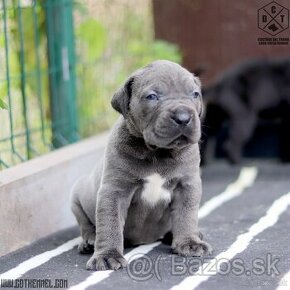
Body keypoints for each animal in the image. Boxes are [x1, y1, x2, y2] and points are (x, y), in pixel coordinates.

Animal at [70, 60, 211, 270]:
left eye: (195, 94)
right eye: (152, 97)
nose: (183, 117)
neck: (157, 153)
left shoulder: (187, 185)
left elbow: (186, 215)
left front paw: (189, 243)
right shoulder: (114, 190)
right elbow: (110, 222)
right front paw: (107, 255)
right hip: (77, 196)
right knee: (86, 225)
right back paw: (89, 241)